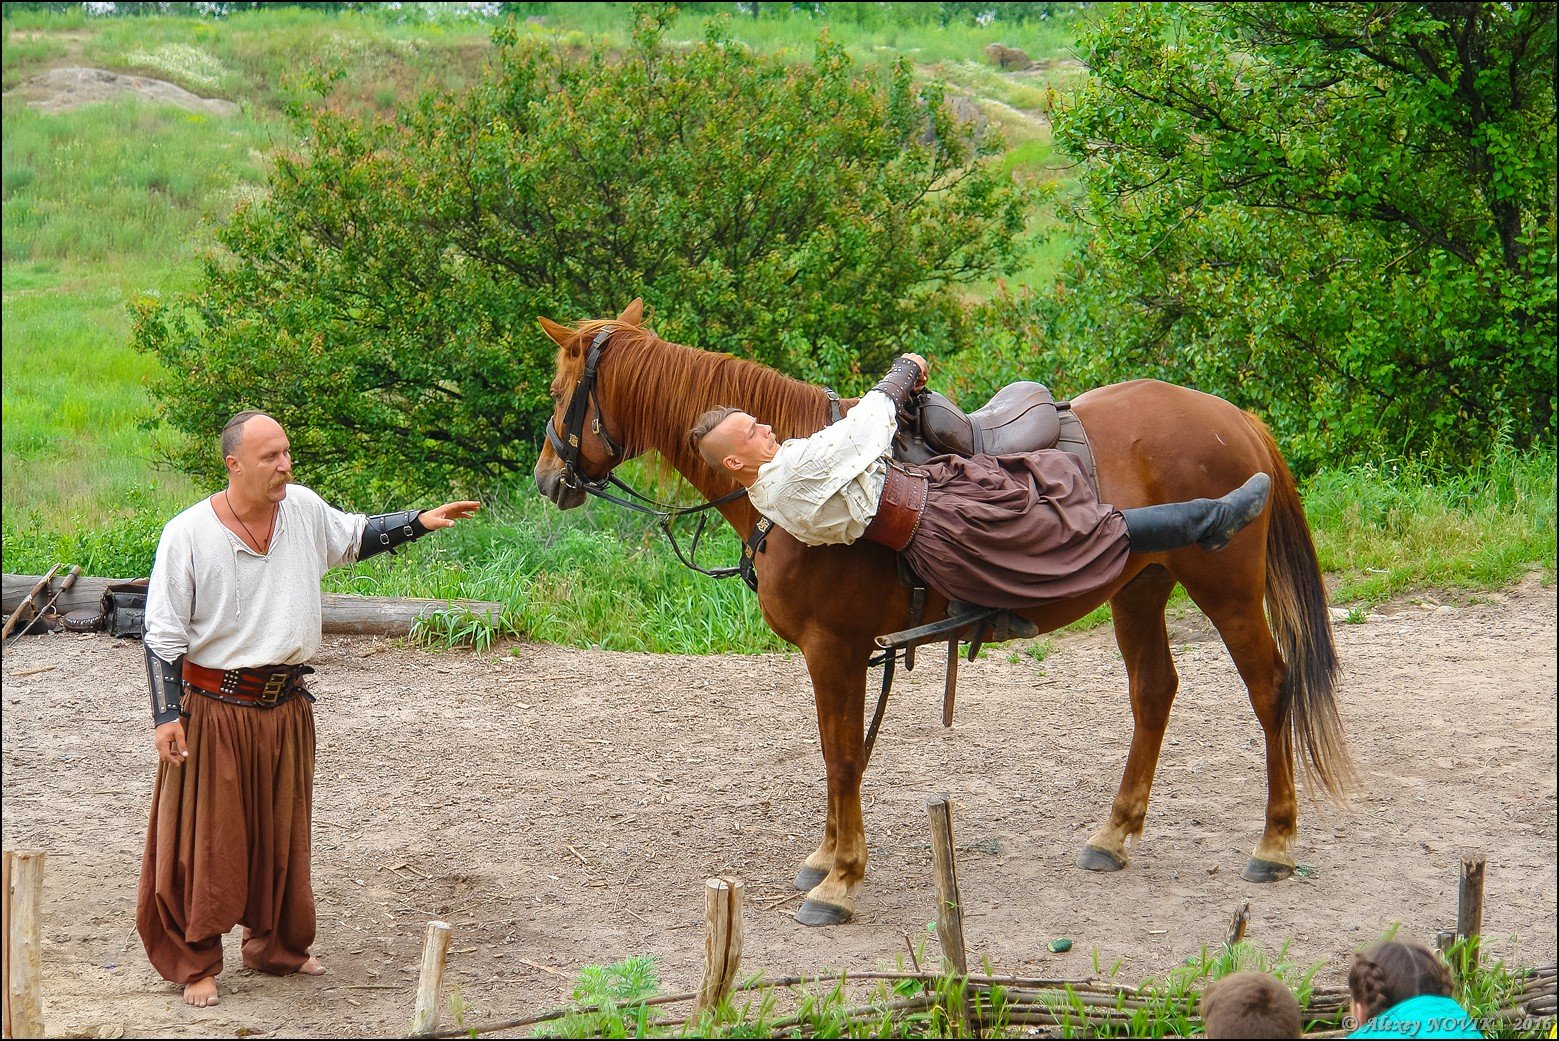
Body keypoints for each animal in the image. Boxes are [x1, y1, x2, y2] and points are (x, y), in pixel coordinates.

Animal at [530, 300, 1346, 928]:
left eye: (562, 387)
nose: (546, 478)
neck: (777, 476)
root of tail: (1232, 419)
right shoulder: (838, 652)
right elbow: (838, 750)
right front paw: (826, 857)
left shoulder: (835, 645)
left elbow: (841, 754)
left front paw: (840, 881)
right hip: (1139, 587)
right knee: (1153, 691)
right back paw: (1113, 835)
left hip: (1226, 589)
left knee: (1270, 687)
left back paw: (1274, 842)